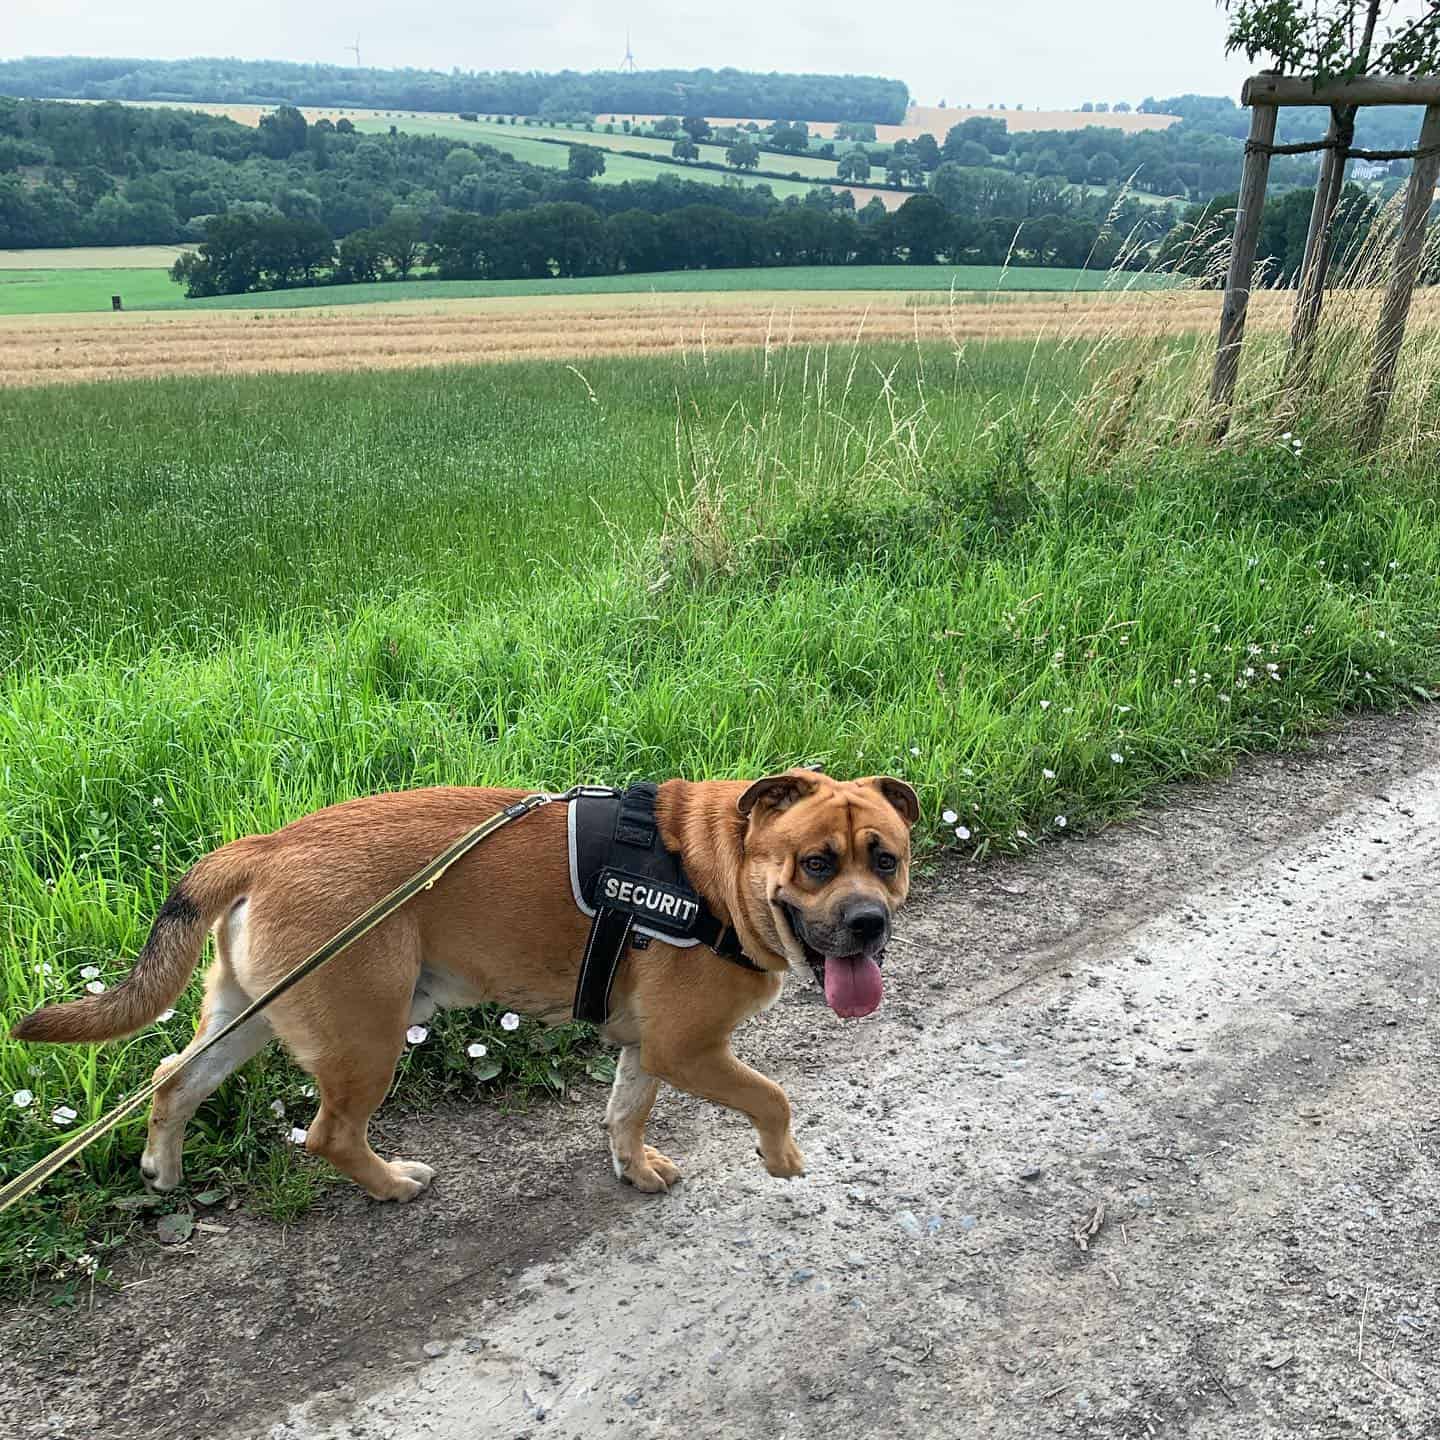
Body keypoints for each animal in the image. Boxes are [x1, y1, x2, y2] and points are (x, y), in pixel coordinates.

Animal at [14, 771, 910, 1198]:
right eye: (817, 863)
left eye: (887, 859)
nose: (870, 923)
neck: (717, 871)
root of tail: (264, 848)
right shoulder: (688, 1049)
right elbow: (773, 1096)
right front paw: (782, 1156)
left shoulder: (646, 1048)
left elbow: (624, 1113)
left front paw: (632, 1166)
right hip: (365, 1039)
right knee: (327, 1135)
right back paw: (390, 1186)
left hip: (252, 1016)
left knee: (174, 1079)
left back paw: (161, 1167)